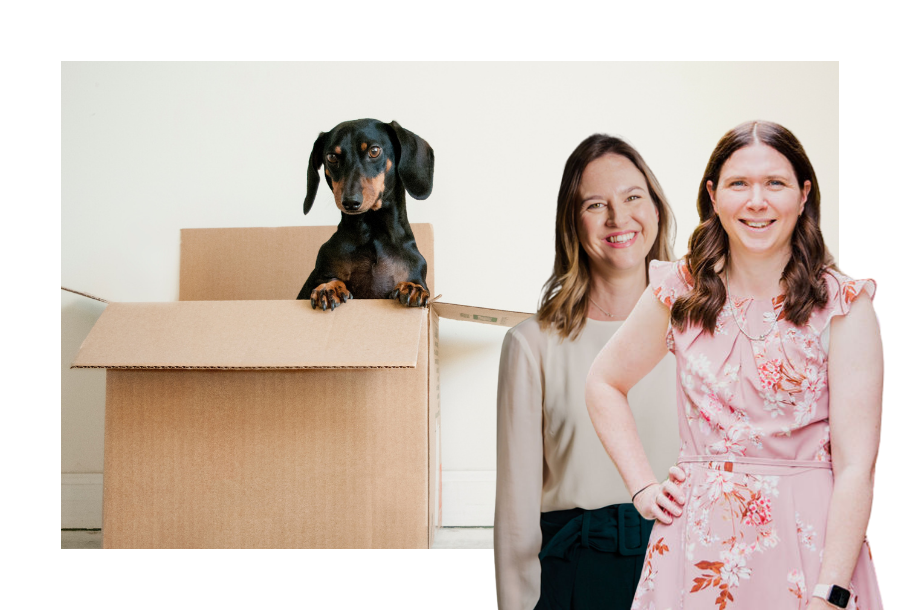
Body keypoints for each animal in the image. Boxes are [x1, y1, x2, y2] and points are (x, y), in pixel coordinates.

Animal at [298, 119, 434, 308]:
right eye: (331, 157)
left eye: (374, 151)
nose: (350, 202)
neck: (372, 232)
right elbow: (328, 279)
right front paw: (329, 287)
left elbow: (415, 283)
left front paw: (412, 287)